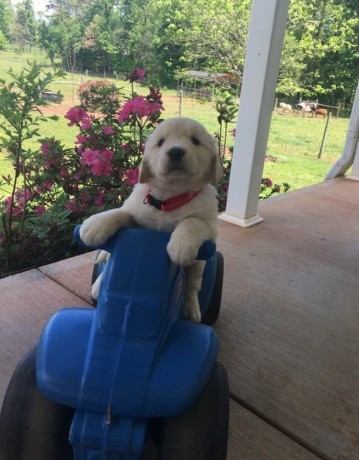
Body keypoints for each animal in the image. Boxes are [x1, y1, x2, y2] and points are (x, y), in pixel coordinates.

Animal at [80, 117, 224, 322]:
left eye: (195, 141)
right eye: (161, 142)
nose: (175, 151)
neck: (169, 199)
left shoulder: (210, 226)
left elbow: (192, 221)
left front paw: (180, 247)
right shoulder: (138, 215)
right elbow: (122, 213)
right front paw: (95, 225)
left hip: (200, 262)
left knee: (193, 283)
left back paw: (191, 310)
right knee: (107, 262)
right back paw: (99, 282)